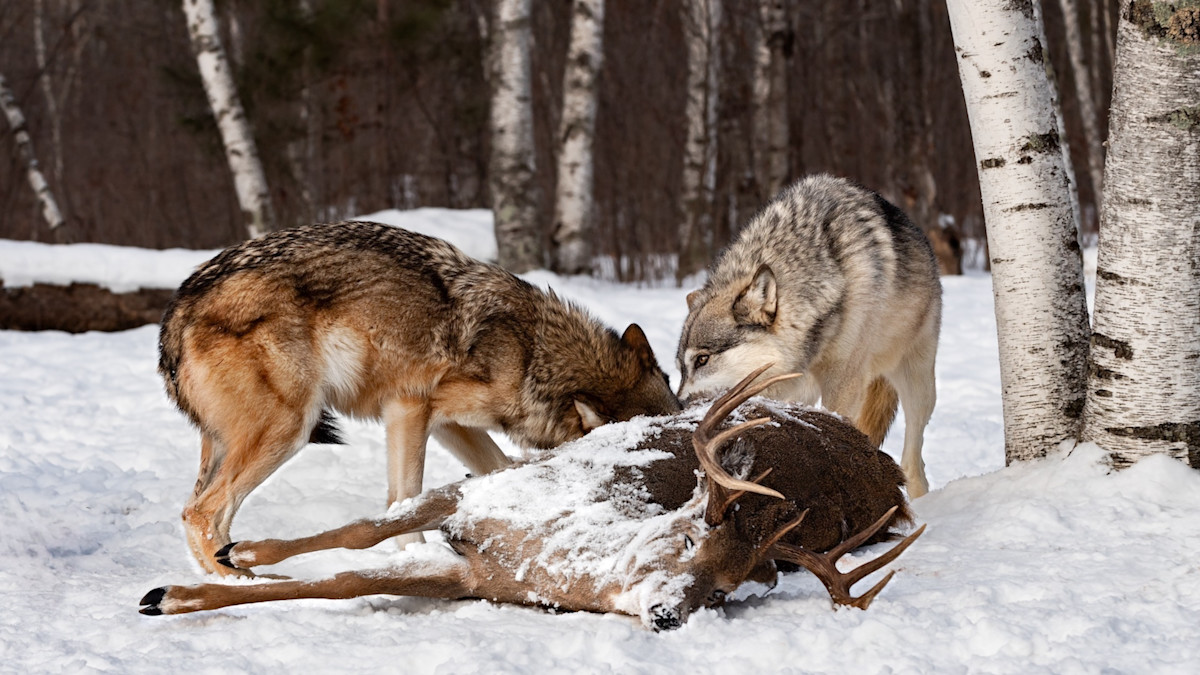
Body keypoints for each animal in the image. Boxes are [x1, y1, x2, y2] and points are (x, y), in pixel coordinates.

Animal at [159, 221, 680, 574]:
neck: (533, 354)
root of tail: (179, 305)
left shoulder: (450, 424)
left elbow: (498, 471)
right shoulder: (408, 407)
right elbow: (401, 499)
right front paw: (421, 557)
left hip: (235, 441)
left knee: (200, 511)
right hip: (292, 428)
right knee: (199, 512)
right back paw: (243, 583)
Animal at [676, 174, 941, 497]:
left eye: (702, 360)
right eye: (681, 368)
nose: (677, 407)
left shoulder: (844, 382)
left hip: (917, 384)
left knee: (915, 468)